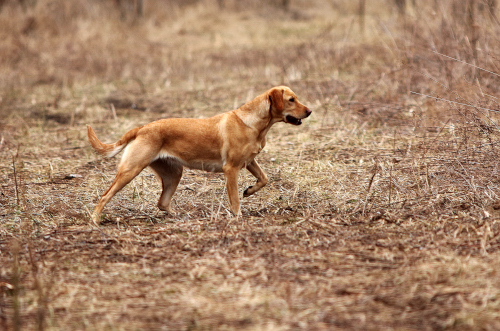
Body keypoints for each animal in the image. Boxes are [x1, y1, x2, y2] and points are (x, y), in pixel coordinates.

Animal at [88, 85, 310, 222]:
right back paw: (95, 219)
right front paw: (238, 216)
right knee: (105, 196)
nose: (310, 111)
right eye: (291, 100)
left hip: (173, 174)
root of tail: (142, 128)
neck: (253, 123)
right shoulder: (231, 169)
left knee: (162, 202)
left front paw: (249, 191)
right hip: (130, 170)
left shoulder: (249, 162)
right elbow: (235, 199)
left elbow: (264, 179)